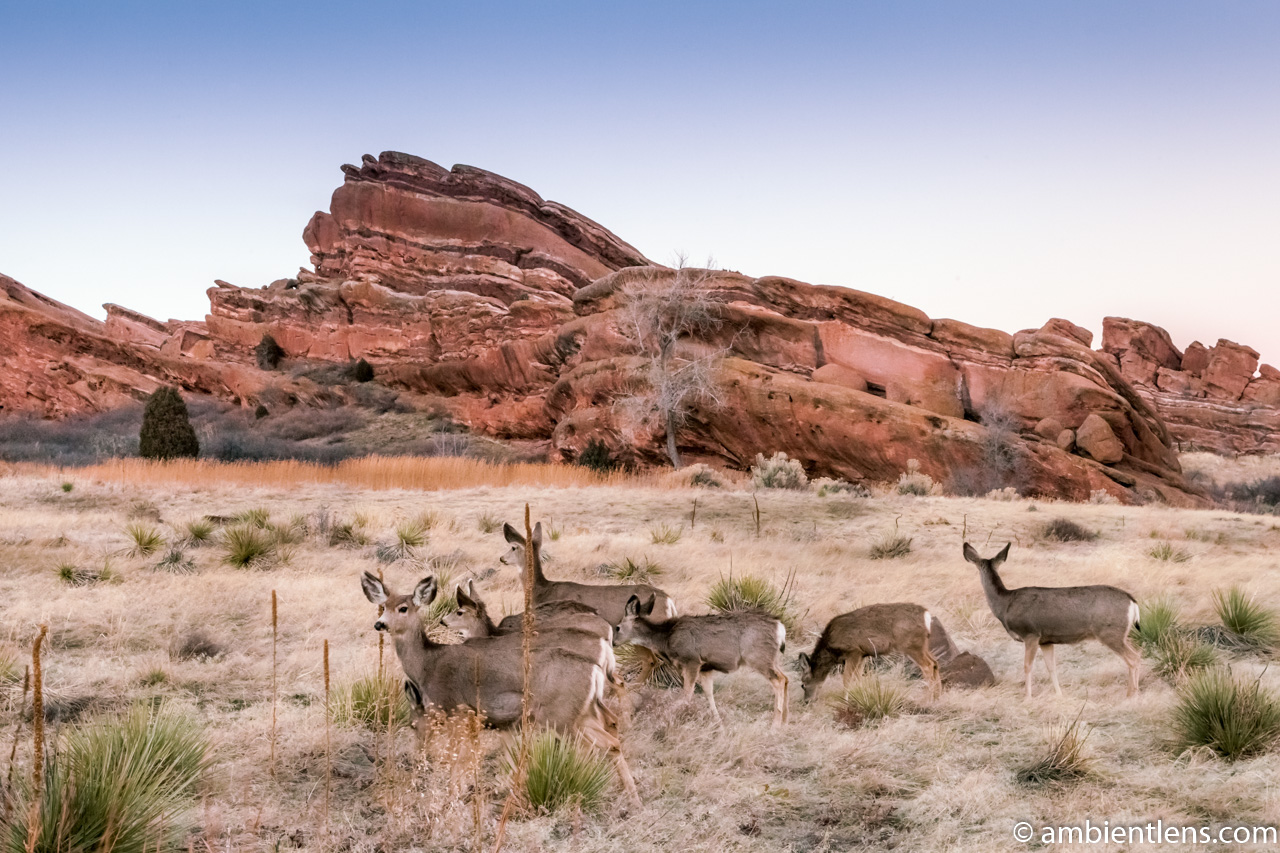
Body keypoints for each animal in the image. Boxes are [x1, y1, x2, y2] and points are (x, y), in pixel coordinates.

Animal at [360, 572, 640, 805]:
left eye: (403, 608)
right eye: (383, 607)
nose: (380, 624)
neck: (427, 664)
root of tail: (595, 667)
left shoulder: (457, 712)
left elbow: (458, 760)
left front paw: (453, 797)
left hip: (562, 718)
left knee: (596, 744)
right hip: (578, 714)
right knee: (612, 738)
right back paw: (631, 796)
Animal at [615, 593, 790, 726]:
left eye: (617, 627)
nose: (613, 642)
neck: (667, 638)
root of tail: (780, 627)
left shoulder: (692, 661)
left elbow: (687, 694)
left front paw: (673, 716)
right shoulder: (706, 668)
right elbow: (709, 694)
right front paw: (718, 723)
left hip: (758, 657)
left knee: (779, 680)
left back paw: (775, 724)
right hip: (771, 659)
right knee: (786, 678)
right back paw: (785, 720)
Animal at [796, 603, 941, 702]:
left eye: (802, 684)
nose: (806, 702)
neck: (831, 648)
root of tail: (926, 615)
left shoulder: (853, 651)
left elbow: (847, 679)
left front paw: (845, 700)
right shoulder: (863, 654)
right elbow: (858, 678)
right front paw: (860, 696)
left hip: (912, 645)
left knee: (928, 666)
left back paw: (928, 699)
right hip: (922, 645)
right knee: (935, 662)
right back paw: (937, 696)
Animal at [963, 542, 1141, 698]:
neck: (1005, 604)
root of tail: (1132, 601)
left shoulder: (1031, 633)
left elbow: (1027, 666)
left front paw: (1027, 697)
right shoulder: (1046, 641)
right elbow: (1051, 668)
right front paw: (1059, 695)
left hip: (1110, 632)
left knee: (1133, 659)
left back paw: (1131, 695)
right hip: (1121, 634)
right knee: (1137, 654)